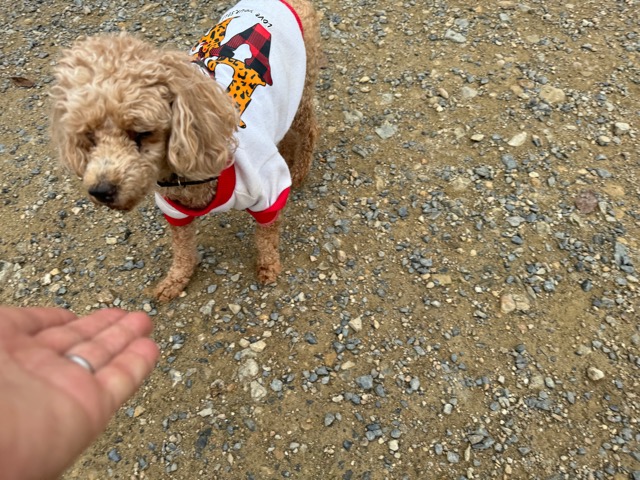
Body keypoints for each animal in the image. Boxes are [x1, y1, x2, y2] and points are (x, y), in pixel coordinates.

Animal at [51, 0, 319, 301]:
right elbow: (182, 248)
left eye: (141, 133)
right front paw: (175, 280)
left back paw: (300, 170)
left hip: (302, 83)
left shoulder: (267, 186)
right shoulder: (174, 209)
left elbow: (267, 234)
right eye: (89, 136)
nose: (101, 190)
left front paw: (268, 266)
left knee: (309, 129)